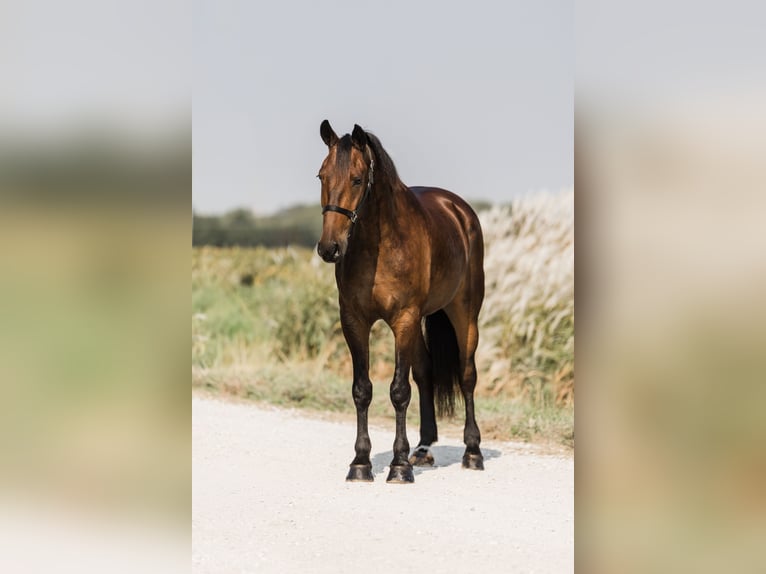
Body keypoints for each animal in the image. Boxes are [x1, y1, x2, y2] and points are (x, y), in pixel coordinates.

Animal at [316, 120, 485, 483]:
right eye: (321, 176)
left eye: (357, 179)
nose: (329, 248)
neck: (379, 246)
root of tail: (459, 210)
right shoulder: (354, 321)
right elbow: (362, 389)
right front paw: (360, 463)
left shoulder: (403, 319)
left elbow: (398, 390)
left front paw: (398, 466)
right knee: (425, 372)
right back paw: (422, 448)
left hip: (464, 313)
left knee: (467, 375)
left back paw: (472, 452)